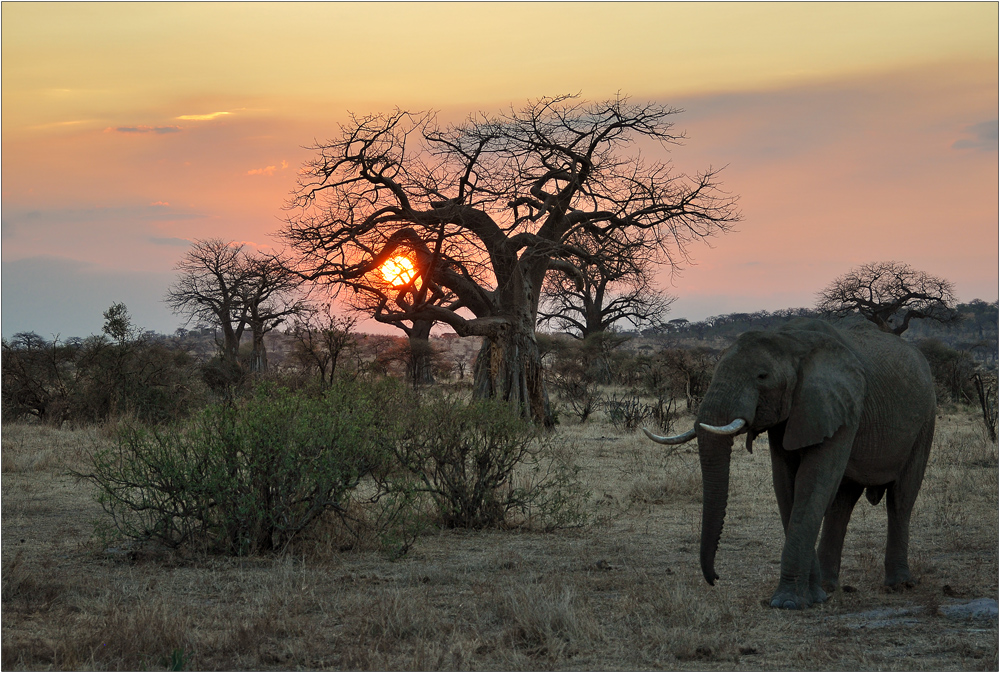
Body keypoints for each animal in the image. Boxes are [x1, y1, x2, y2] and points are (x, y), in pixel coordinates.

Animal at [648, 318, 936, 608]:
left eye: (762, 376)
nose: (715, 578)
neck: (792, 342)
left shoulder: (841, 406)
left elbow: (812, 484)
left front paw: (788, 602)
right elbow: (787, 486)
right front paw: (813, 596)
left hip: (925, 421)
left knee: (900, 499)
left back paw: (900, 584)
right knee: (842, 502)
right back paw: (829, 586)